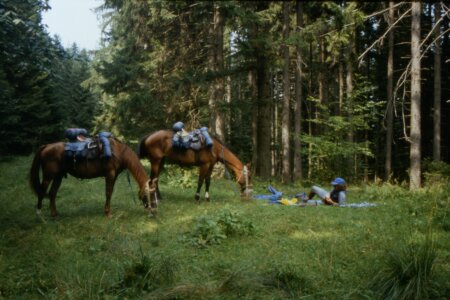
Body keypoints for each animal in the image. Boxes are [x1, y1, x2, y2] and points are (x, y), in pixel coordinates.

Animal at [29, 137, 157, 217]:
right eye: (150, 194)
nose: (154, 211)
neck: (118, 152)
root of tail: (46, 146)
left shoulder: (114, 176)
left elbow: (109, 192)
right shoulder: (110, 174)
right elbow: (108, 193)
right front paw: (108, 213)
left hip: (58, 176)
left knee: (52, 193)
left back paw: (54, 214)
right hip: (48, 176)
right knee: (41, 192)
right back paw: (39, 215)